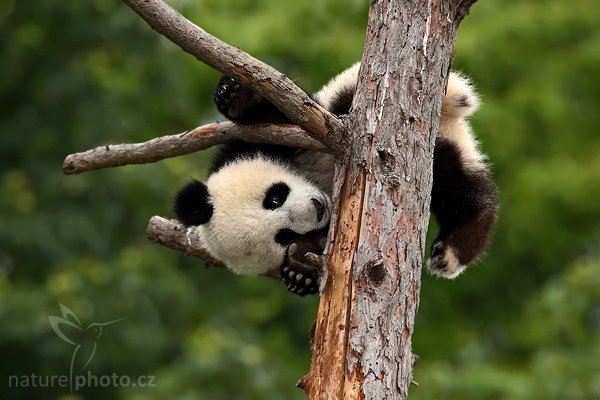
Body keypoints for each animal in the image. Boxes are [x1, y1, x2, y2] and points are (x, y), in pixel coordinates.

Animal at [173, 62, 496, 294]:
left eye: (274, 197)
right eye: (284, 235)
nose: (317, 210)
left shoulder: (259, 141)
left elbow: (277, 113)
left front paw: (233, 95)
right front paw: (301, 271)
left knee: (454, 185)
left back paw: (454, 247)